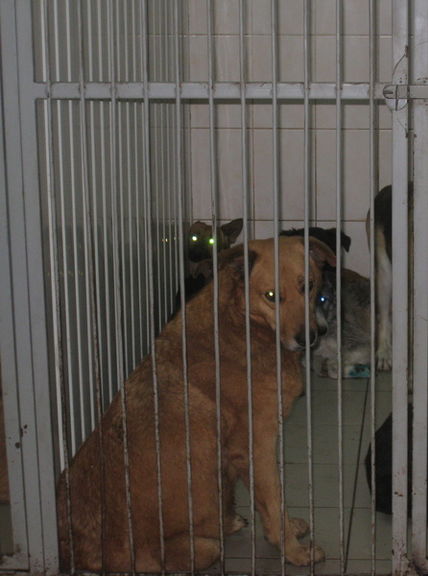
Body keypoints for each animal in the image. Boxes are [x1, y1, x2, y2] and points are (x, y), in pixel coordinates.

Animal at [58, 236, 335, 571]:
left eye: (308, 286)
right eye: (271, 296)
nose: (310, 338)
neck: (242, 323)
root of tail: (76, 549)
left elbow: (259, 503)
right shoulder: (258, 448)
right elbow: (273, 504)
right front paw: (294, 552)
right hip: (196, 549)